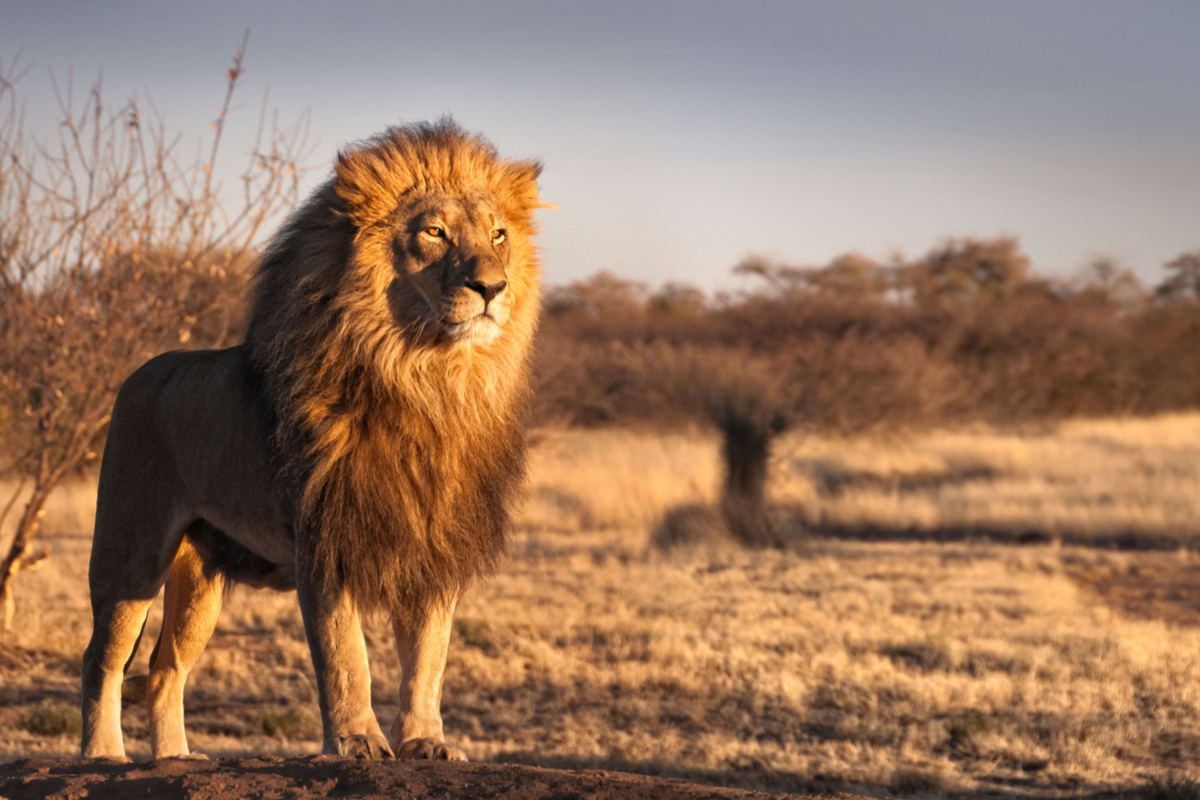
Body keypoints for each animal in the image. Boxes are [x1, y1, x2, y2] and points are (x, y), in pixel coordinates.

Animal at [76, 120, 544, 762]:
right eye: (434, 232)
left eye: (498, 234)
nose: (492, 286)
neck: (427, 380)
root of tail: (138, 373)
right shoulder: (324, 537)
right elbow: (346, 656)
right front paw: (357, 741)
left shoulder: (434, 544)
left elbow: (429, 657)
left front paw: (426, 742)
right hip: (131, 551)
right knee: (102, 658)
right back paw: (103, 755)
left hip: (200, 579)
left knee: (166, 668)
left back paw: (174, 759)